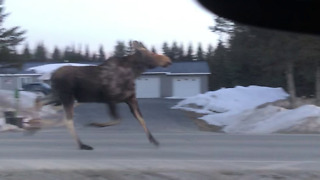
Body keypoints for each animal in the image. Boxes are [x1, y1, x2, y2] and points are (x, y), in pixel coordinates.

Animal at [34, 41, 171, 150]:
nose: (168, 60)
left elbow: (141, 120)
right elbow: (117, 119)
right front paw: (95, 124)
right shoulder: (110, 99)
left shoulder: (131, 99)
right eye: (151, 53)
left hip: (57, 94)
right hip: (66, 96)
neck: (134, 72)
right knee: (67, 120)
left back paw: (34, 125)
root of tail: (52, 75)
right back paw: (82, 144)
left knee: (39, 100)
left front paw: (154, 140)